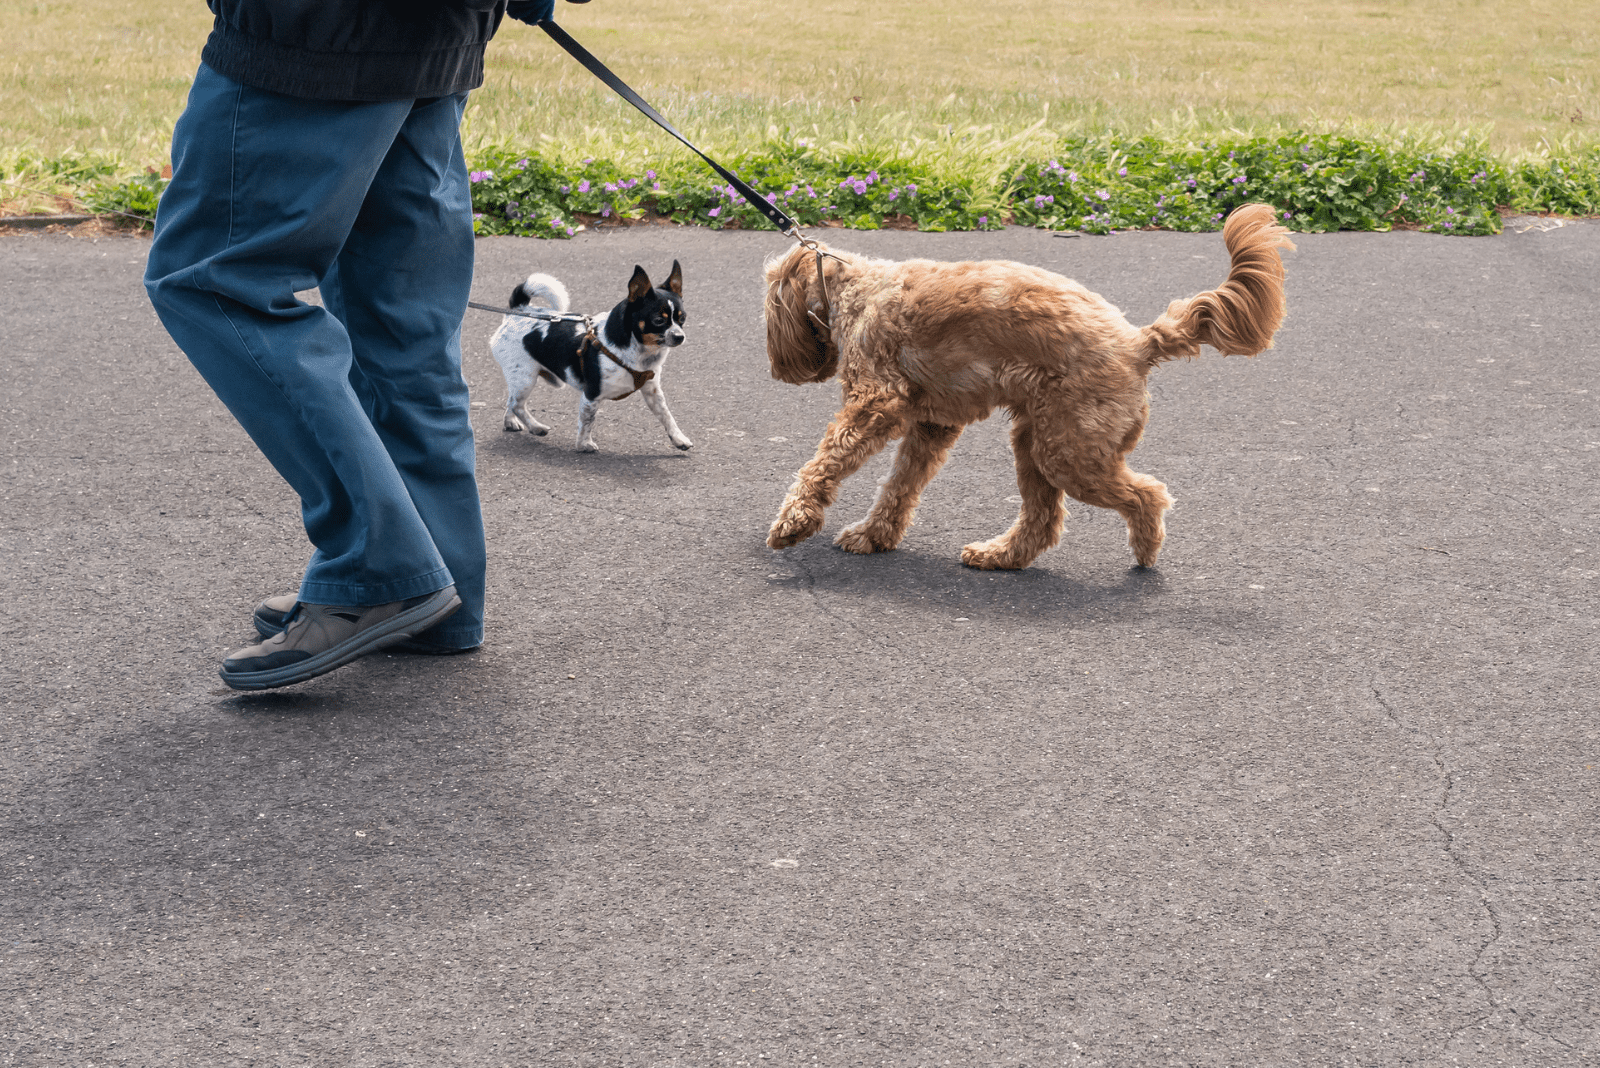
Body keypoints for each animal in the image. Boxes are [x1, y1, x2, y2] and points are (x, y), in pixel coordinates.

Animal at [486, 265, 688, 454]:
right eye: (658, 320)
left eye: (682, 318)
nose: (680, 336)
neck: (638, 352)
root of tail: (518, 311)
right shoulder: (591, 395)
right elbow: (587, 421)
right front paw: (584, 444)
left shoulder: (652, 392)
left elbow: (667, 416)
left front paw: (679, 438)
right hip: (525, 379)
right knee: (517, 405)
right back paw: (536, 427)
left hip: (520, 380)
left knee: (511, 400)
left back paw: (511, 422)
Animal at [761, 199, 1299, 565]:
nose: (777, 367)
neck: (854, 288)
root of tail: (1137, 342)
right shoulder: (933, 424)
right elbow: (900, 484)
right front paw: (875, 535)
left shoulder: (876, 403)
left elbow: (826, 461)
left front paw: (793, 520)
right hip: (1038, 440)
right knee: (1043, 520)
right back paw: (999, 556)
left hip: (1070, 449)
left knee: (1146, 495)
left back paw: (1145, 549)